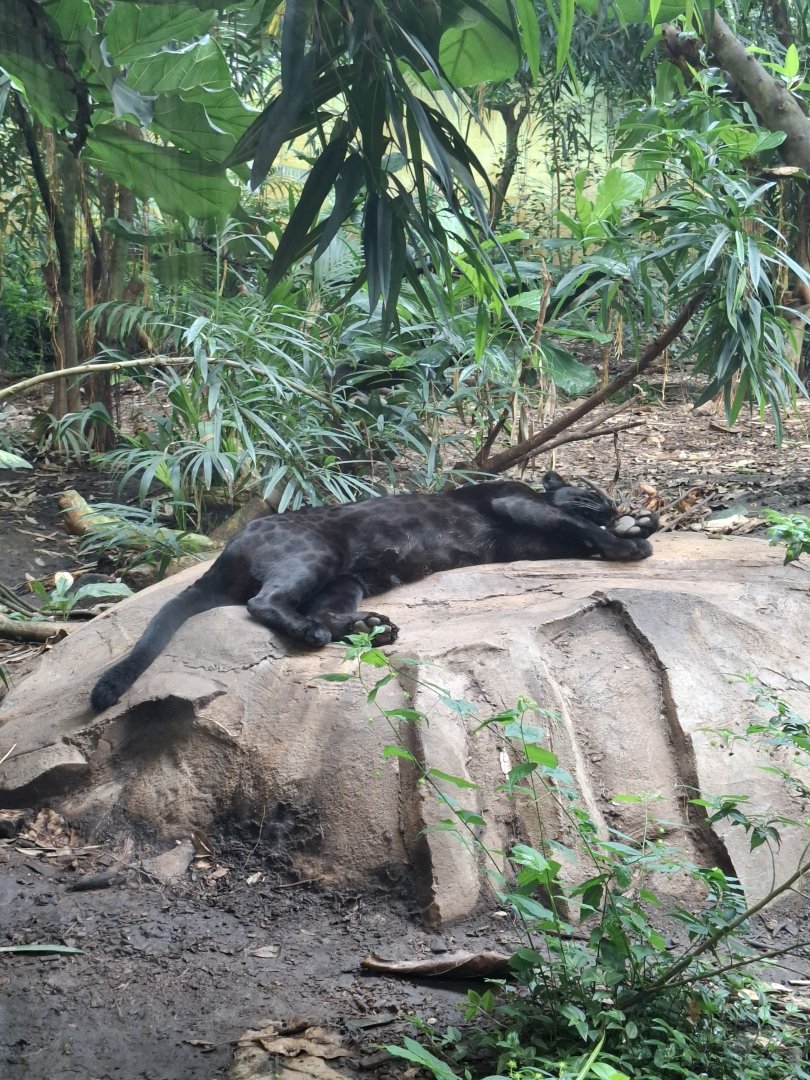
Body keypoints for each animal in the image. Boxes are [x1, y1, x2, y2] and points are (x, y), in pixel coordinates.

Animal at [90, 471, 658, 713]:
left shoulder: (536, 542)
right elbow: (577, 525)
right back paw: (324, 633)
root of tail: (227, 549)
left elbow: (580, 536)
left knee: (322, 614)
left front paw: (638, 524)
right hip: (313, 556)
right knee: (263, 603)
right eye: (592, 489)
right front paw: (632, 542)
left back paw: (374, 630)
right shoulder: (519, 506)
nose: (612, 502)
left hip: (344, 581)